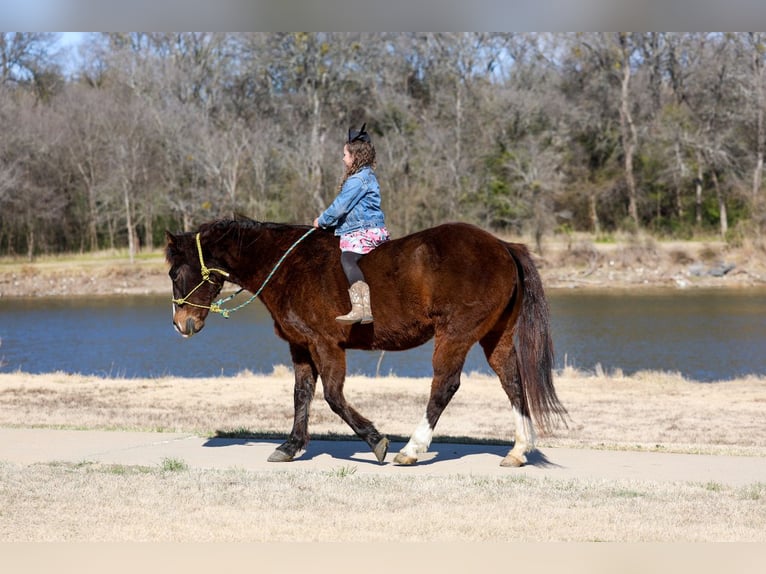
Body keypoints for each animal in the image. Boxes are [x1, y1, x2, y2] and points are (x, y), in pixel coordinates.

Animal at [165, 218, 567, 467]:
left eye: (175, 271)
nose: (181, 324)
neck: (287, 266)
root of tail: (502, 245)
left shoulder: (325, 344)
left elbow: (333, 397)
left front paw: (376, 440)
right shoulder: (300, 346)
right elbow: (301, 395)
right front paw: (290, 446)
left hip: (456, 334)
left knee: (445, 385)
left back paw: (412, 449)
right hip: (495, 336)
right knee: (512, 382)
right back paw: (518, 450)